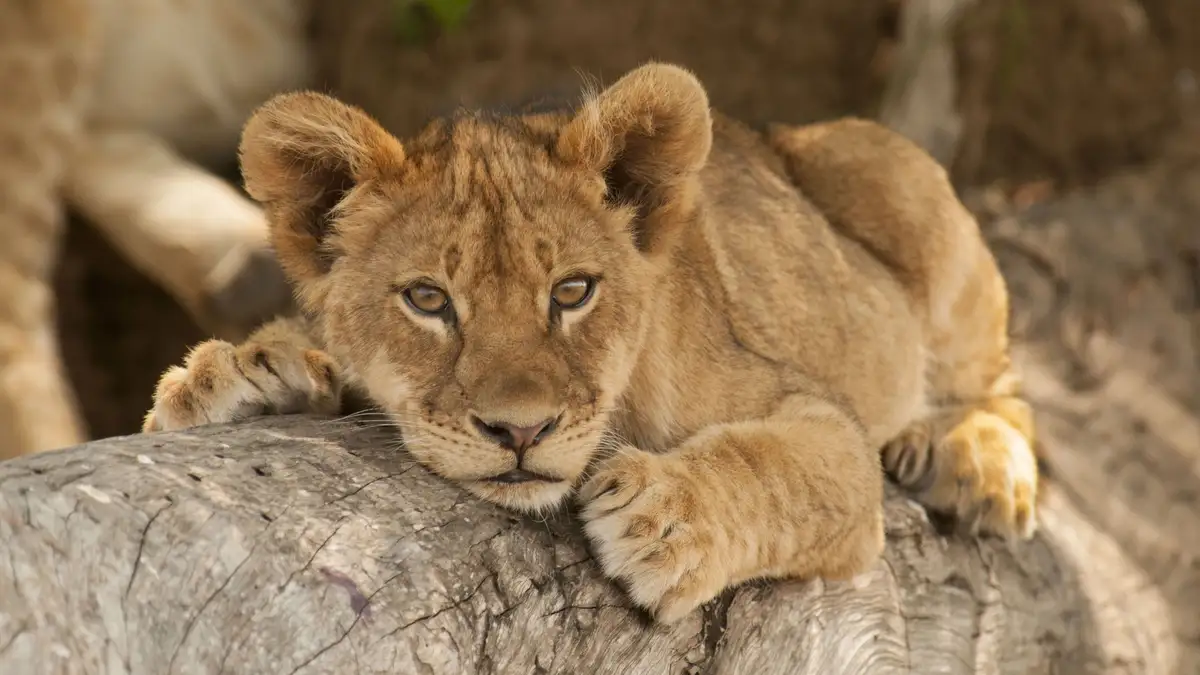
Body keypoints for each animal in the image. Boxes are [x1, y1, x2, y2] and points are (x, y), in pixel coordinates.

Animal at [143, 62, 1040, 623]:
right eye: (428, 299)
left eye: (572, 292)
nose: (521, 431)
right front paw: (236, 374)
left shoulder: (823, 423)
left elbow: (777, 466)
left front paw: (663, 518)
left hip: (894, 178)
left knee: (1006, 384)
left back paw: (978, 460)